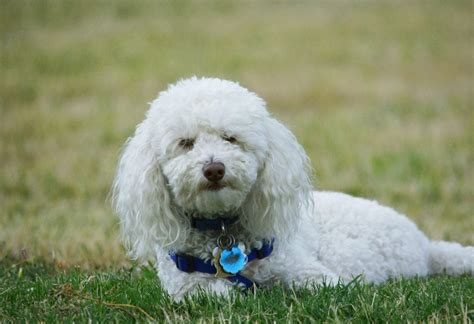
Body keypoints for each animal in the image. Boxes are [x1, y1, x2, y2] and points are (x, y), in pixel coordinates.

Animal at [112, 76, 474, 302]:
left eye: (231, 138)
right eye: (186, 143)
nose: (214, 169)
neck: (222, 233)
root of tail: (426, 245)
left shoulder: (311, 273)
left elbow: (316, 284)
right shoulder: (184, 287)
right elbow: (214, 293)